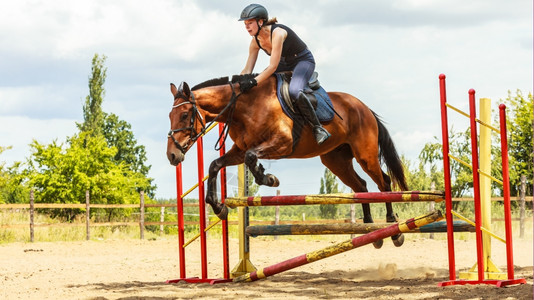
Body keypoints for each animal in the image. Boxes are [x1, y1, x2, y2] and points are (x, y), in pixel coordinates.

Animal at [168, 74, 410, 247]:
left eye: (184, 115)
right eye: (170, 116)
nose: (172, 155)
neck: (243, 109)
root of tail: (364, 107)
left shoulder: (282, 143)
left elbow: (251, 157)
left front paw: (268, 178)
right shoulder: (238, 150)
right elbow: (215, 165)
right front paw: (219, 207)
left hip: (365, 156)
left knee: (383, 182)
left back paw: (393, 228)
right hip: (336, 161)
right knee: (361, 186)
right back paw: (372, 230)